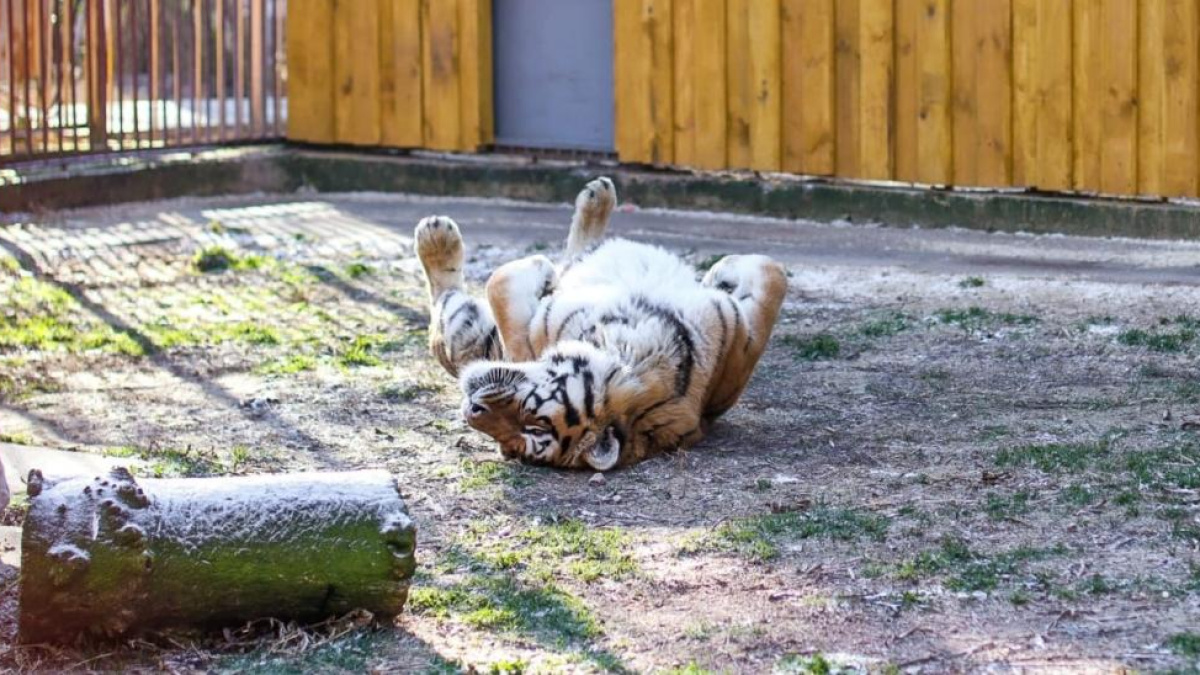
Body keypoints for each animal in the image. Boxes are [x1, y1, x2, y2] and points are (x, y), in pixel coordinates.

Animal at [412, 177, 787, 468]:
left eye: (532, 426)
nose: (471, 409)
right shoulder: (733, 334)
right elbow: (774, 276)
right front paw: (723, 269)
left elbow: (500, 284)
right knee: (578, 253)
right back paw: (597, 195)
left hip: (460, 327)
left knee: (445, 297)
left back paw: (435, 234)